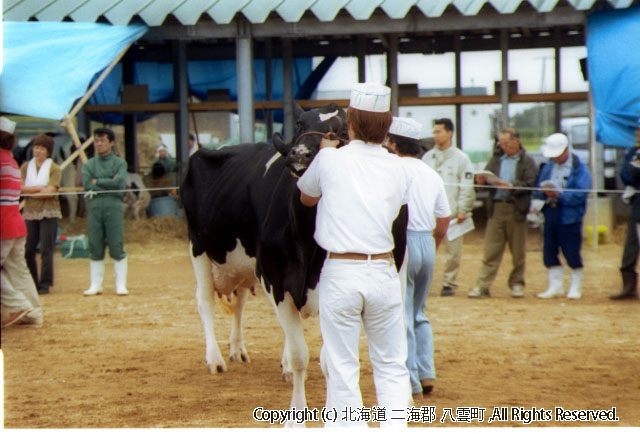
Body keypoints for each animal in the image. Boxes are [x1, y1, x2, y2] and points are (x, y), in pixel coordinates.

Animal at [182, 103, 408, 422]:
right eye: (300, 124)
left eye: (340, 129)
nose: (299, 154)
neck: (305, 237)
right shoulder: (276, 281)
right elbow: (301, 355)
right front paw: (297, 408)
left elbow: (327, 360)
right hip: (199, 247)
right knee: (205, 301)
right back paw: (215, 359)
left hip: (242, 264)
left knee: (238, 302)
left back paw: (239, 350)